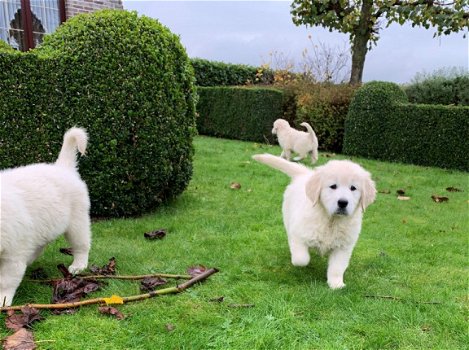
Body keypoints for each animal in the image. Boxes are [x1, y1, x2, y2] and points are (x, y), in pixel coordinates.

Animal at [0, 127, 91, 304]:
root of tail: (62, 167)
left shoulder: (12, 254)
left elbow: (5, 281)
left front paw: (2, 300)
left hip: (77, 222)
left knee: (81, 245)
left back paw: (78, 265)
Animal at [250, 154, 374, 288]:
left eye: (353, 188)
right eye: (333, 186)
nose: (343, 202)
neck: (331, 220)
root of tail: (305, 174)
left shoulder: (343, 247)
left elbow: (337, 267)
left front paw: (336, 284)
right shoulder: (298, 234)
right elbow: (301, 259)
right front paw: (299, 261)